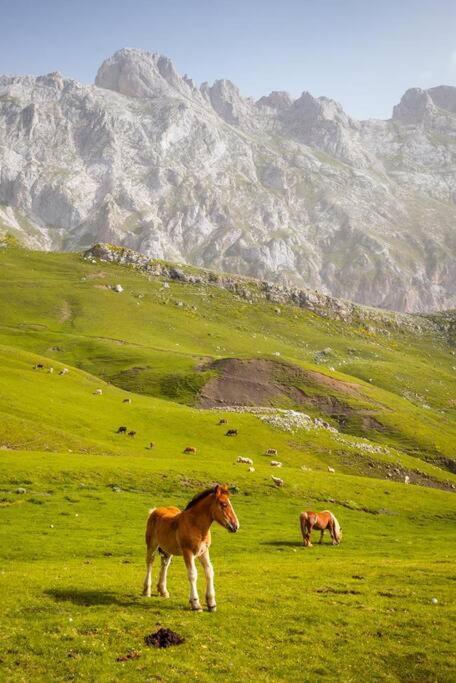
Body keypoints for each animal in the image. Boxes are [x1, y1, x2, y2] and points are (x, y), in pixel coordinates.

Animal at [143, 484, 240, 612]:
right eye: (224, 504)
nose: (236, 526)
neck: (196, 525)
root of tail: (155, 510)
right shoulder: (188, 552)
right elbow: (193, 574)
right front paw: (195, 604)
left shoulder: (204, 552)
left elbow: (209, 571)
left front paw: (211, 604)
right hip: (152, 545)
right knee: (150, 562)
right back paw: (147, 591)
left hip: (168, 549)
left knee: (165, 564)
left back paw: (163, 591)